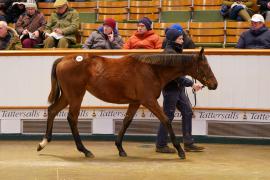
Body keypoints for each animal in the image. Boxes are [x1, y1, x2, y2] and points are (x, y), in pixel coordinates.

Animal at [37, 47, 217, 159]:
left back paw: (43, 143)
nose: (215, 84)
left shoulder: (135, 102)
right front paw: (180, 151)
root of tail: (63, 58)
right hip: (75, 95)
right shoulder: (149, 101)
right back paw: (85, 150)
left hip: (68, 96)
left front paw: (120, 148)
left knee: (52, 110)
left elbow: (126, 122)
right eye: (205, 66)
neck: (152, 70)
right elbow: (166, 120)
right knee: (72, 118)